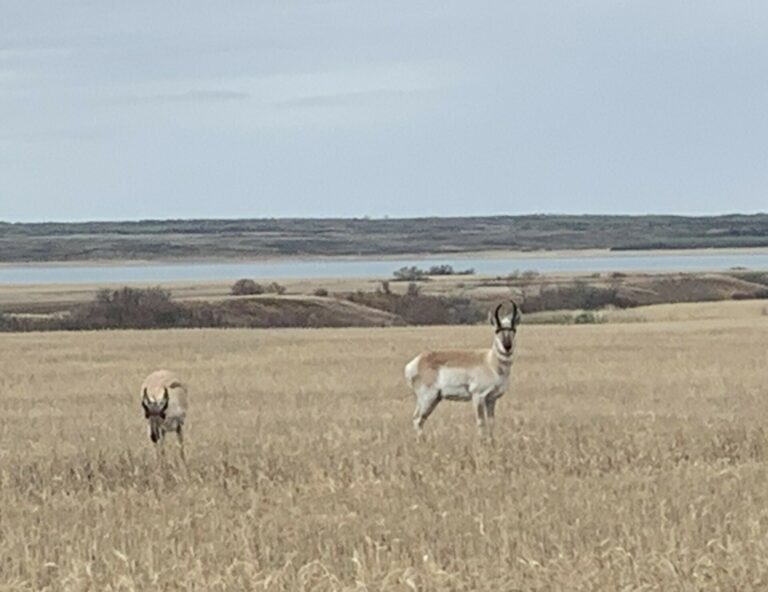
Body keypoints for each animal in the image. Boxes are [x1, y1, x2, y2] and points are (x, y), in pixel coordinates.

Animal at [404, 302, 520, 438]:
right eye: (497, 330)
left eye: (513, 330)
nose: (507, 347)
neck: (489, 361)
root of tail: (416, 362)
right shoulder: (478, 397)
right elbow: (481, 422)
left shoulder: (491, 399)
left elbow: (491, 422)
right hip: (428, 398)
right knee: (418, 419)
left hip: (434, 399)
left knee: (418, 419)